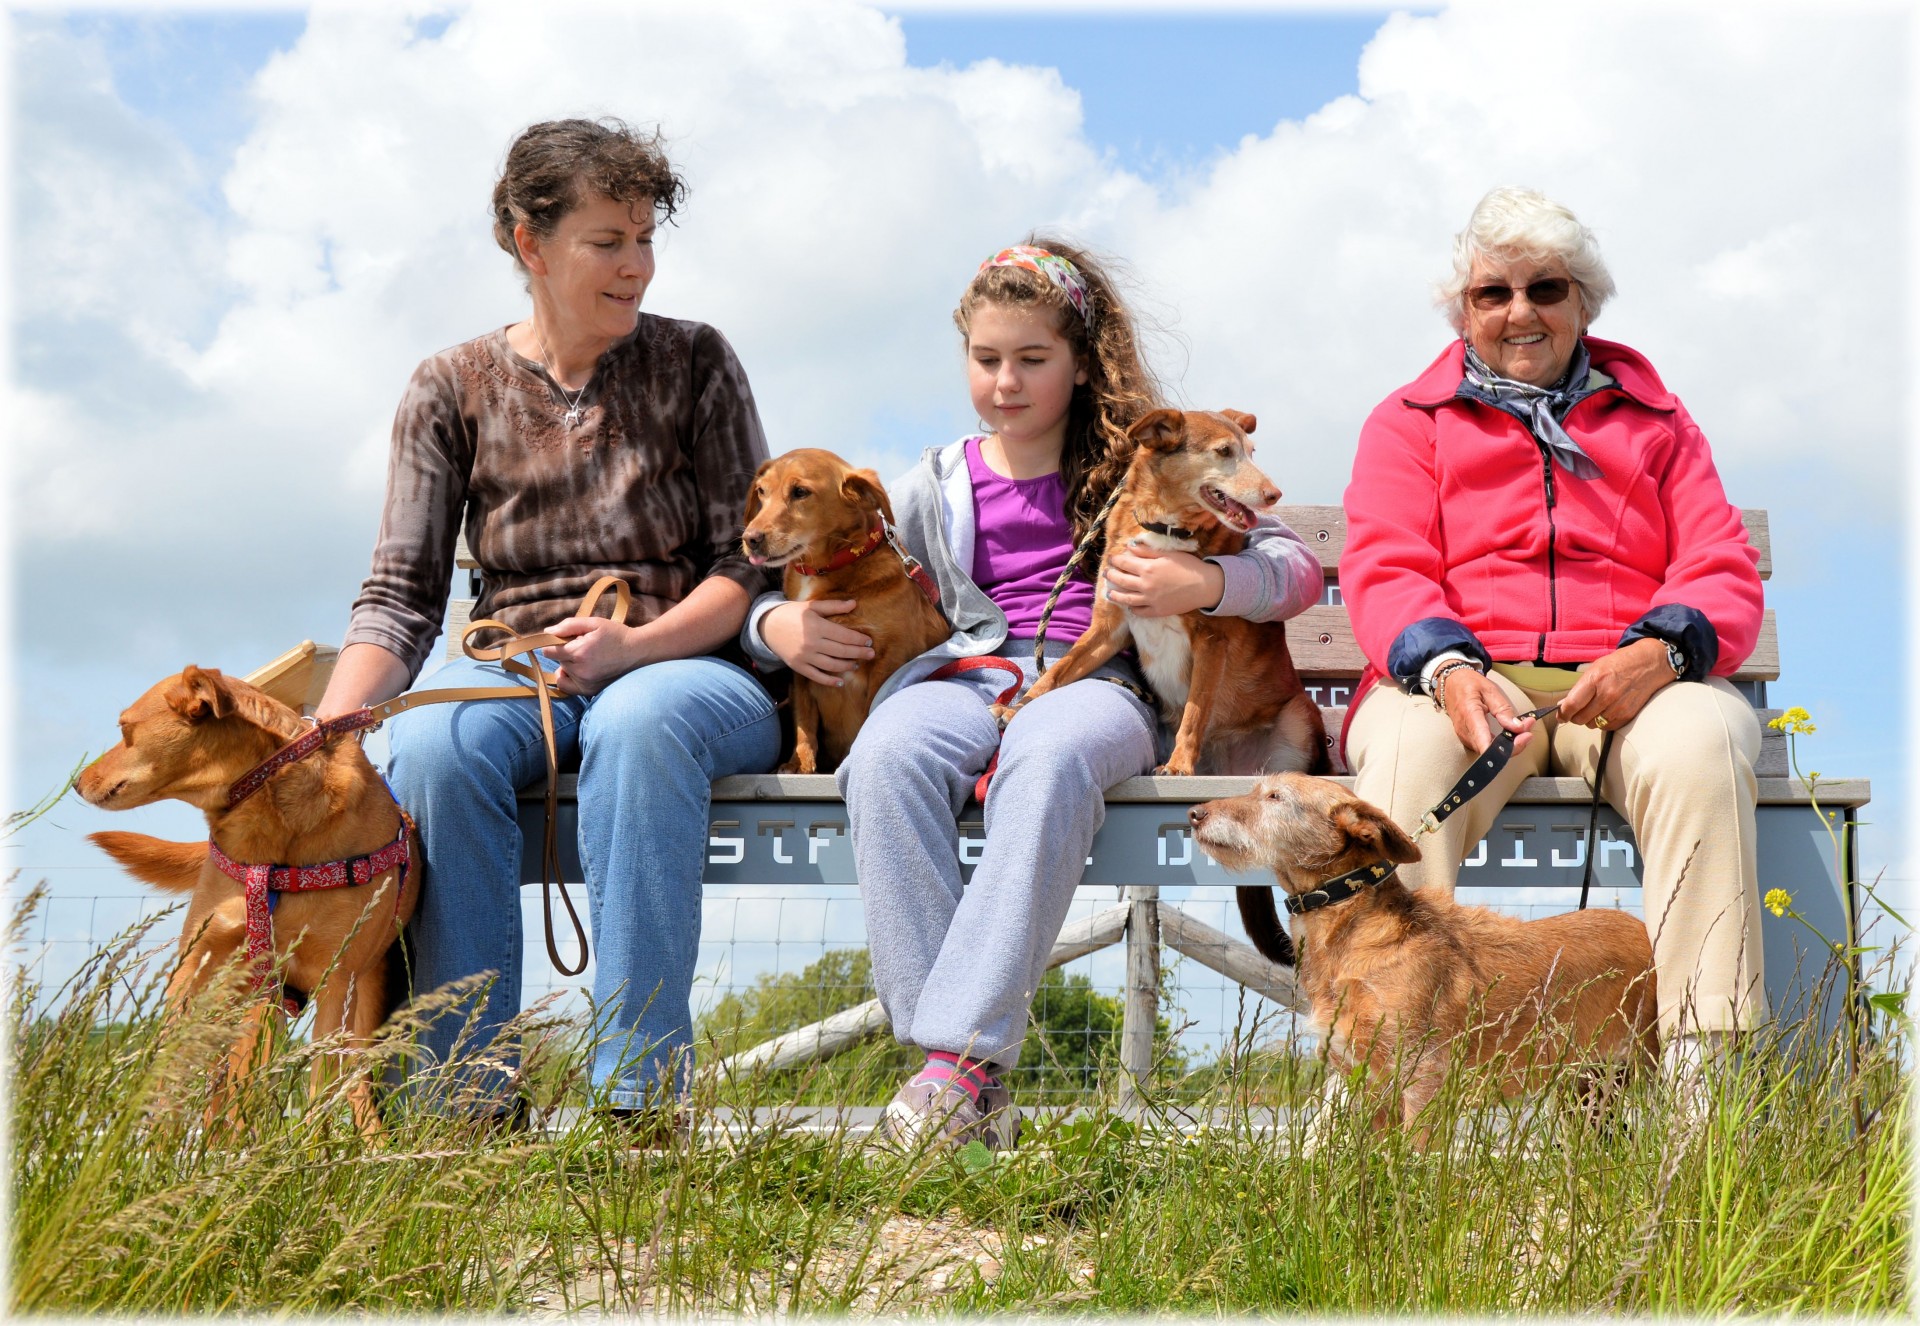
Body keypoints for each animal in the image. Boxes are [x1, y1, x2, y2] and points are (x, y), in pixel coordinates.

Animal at [79, 667, 420, 1136]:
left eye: (124, 729)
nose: (76, 783)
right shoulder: (196, 968)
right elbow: (168, 1077)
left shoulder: (336, 980)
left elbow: (318, 1087)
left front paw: (304, 1148)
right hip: (249, 997)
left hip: (356, 1001)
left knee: (352, 1085)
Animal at [737, 449, 948, 771]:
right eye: (761, 491)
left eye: (800, 492)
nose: (751, 539)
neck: (823, 569)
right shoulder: (800, 663)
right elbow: (805, 721)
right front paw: (799, 763)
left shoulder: (890, 658)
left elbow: (871, 710)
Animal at [1013, 410, 1328, 771]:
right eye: (1224, 451)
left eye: (1251, 452)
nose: (1274, 494)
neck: (1166, 527)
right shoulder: (1108, 628)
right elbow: (1058, 671)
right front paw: (1017, 707)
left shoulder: (1211, 640)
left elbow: (1194, 712)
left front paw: (1179, 765)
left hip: (1299, 716)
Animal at [1190, 771, 1658, 1143]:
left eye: (1274, 797)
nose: (1195, 813)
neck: (1352, 927)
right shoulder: (1365, 1080)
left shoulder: (1424, 1075)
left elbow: (1416, 1157)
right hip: (1586, 1085)